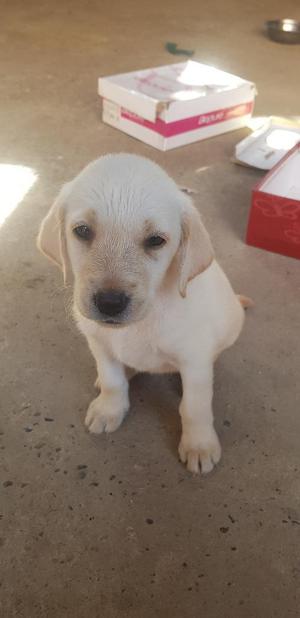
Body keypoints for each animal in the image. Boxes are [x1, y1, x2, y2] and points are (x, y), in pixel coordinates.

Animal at [38, 153, 248, 472]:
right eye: (82, 231)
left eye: (156, 240)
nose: (110, 303)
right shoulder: (99, 342)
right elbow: (112, 380)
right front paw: (109, 408)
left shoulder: (195, 359)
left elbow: (194, 406)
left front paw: (199, 444)